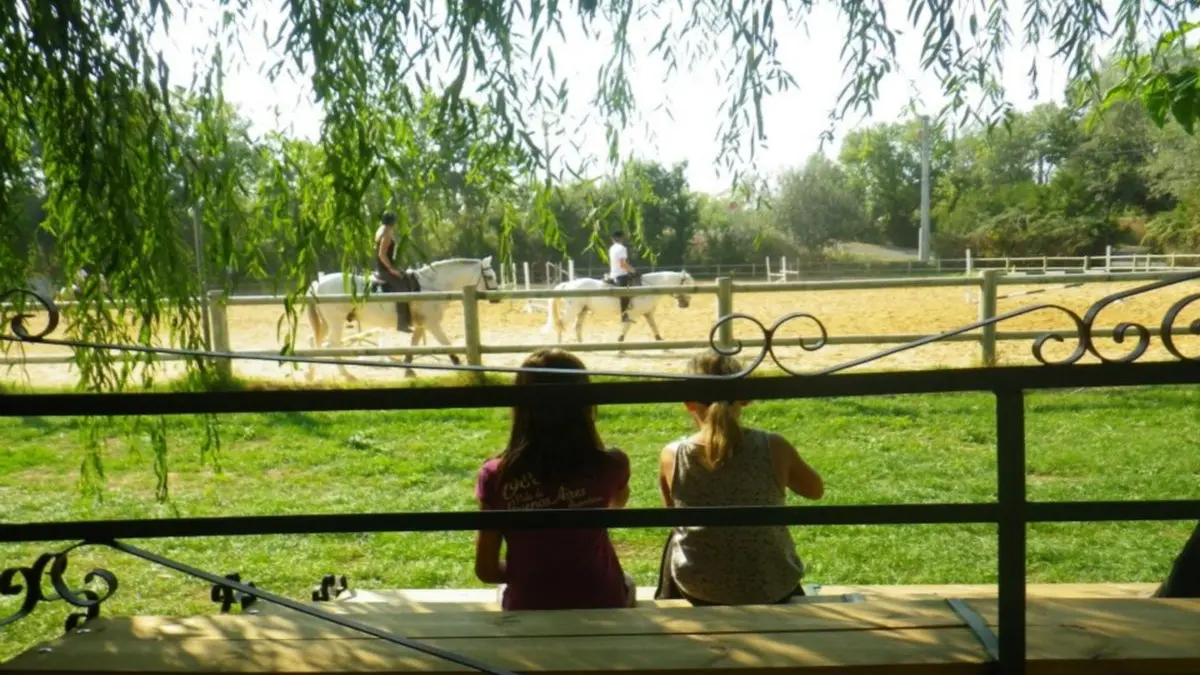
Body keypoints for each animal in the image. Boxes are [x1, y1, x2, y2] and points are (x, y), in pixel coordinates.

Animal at [309, 254, 501, 379]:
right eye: (490, 276)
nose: (496, 298)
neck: (431, 287)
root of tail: (318, 283)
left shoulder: (421, 324)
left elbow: (413, 345)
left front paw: (409, 370)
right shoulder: (432, 324)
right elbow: (446, 344)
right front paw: (460, 366)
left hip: (326, 323)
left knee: (316, 342)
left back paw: (310, 374)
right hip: (336, 321)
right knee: (332, 344)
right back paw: (346, 374)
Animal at [544, 267, 696, 341]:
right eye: (687, 284)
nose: (686, 304)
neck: (649, 286)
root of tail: (568, 284)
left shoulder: (647, 313)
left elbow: (654, 327)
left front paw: (660, 341)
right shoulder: (633, 314)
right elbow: (626, 328)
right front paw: (620, 343)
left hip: (582, 310)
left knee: (577, 327)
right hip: (573, 310)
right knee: (560, 324)